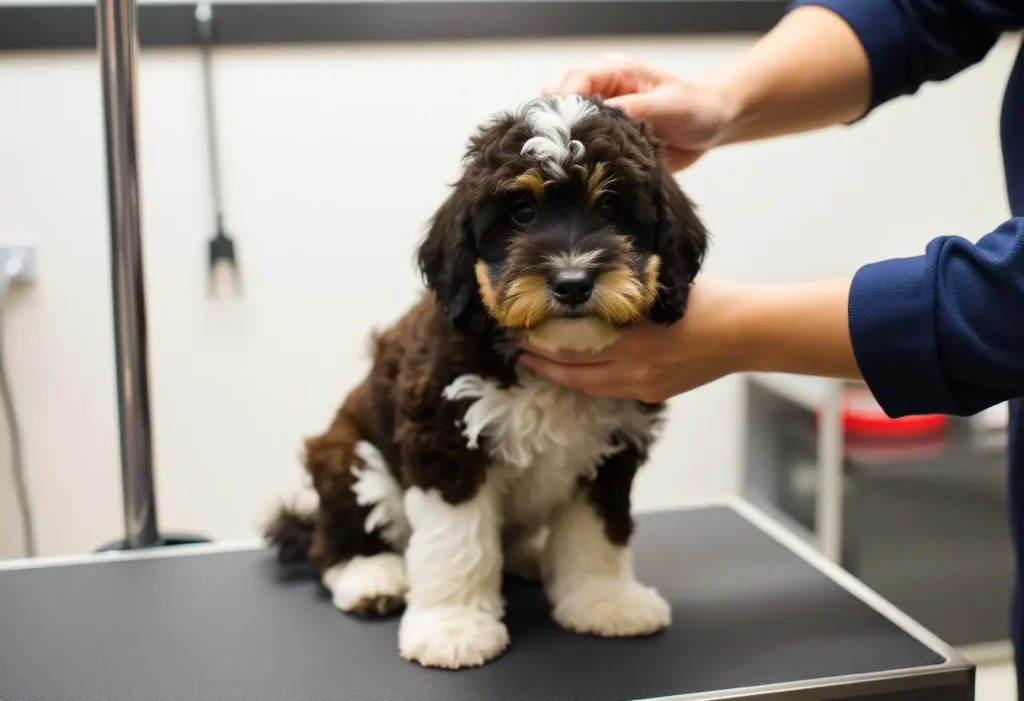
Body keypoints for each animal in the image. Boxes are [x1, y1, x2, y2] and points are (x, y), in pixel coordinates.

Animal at [268, 93, 708, 667]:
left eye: (613, 209)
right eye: (522, 212)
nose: (572, 283)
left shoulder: (614, 447)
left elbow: (599, 531)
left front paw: (604, 600)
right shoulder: (445, 438)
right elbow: (457, 545)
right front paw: (453, 627)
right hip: (346, 455)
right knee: (334, 541)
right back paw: (371, 577)